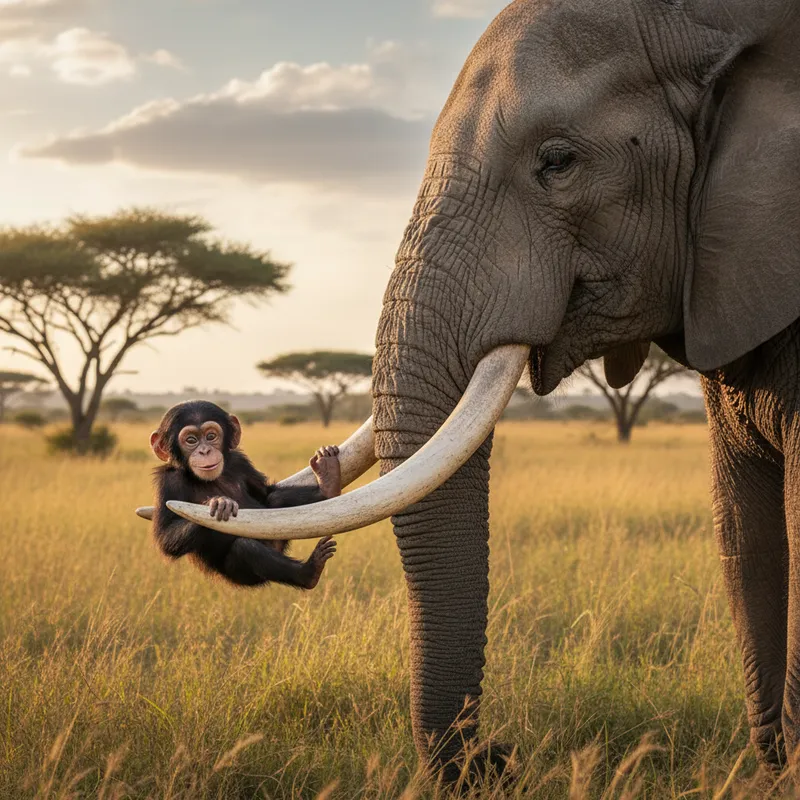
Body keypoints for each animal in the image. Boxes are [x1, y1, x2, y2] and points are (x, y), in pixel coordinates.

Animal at [149, 400, 340, 589]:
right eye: (191, 440)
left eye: (211, 436)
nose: (204, 451)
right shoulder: (170, 482)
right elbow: (166, 536)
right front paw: (219, 503)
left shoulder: (240, 462)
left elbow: (266, 495)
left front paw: (326, 483)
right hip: (241, 575)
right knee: (245, 547)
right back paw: (308, 572)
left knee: (275, 500)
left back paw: (328, 481)